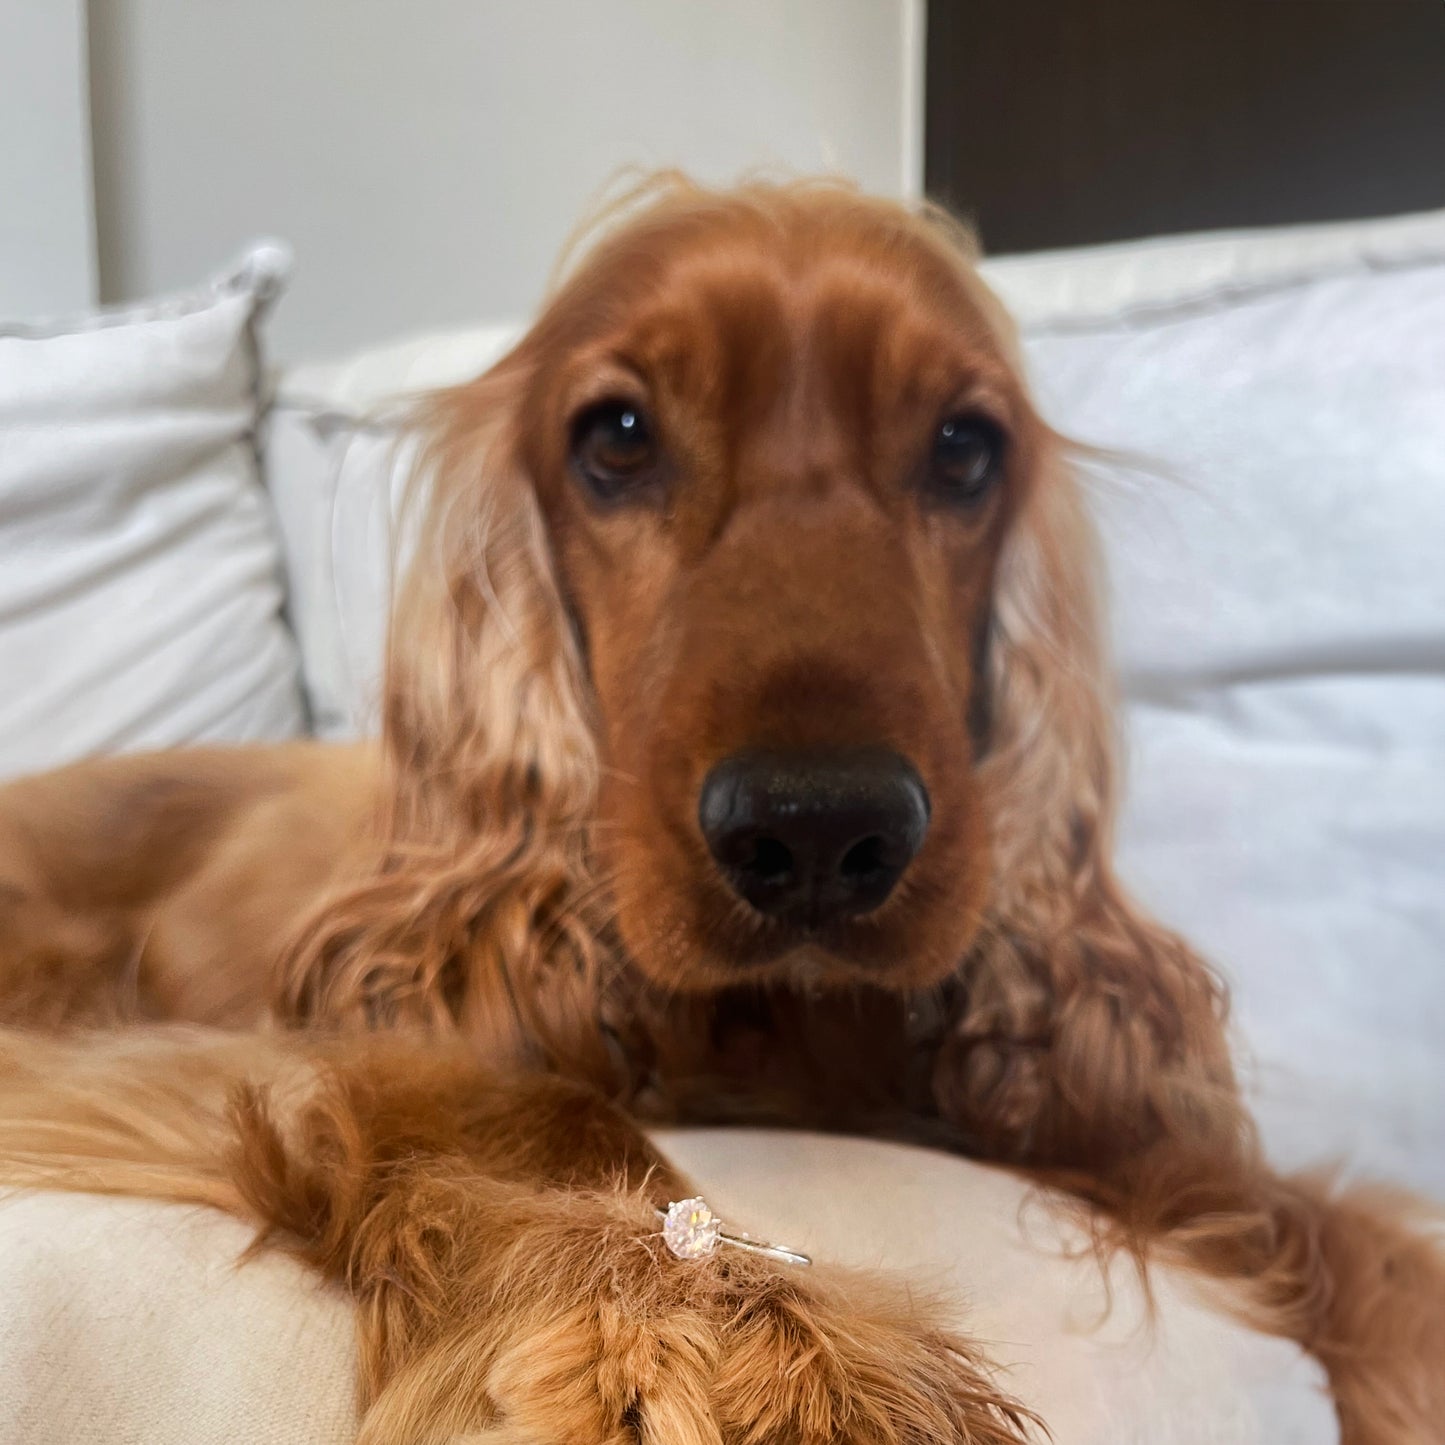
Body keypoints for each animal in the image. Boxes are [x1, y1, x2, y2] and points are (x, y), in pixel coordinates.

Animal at [0, 174, 1439, 1439]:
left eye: (964, 447)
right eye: (617, 437)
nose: (815, 832)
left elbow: (1324, 1220)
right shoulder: (269, 1035)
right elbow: (535, 1108)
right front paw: (757, 1345)